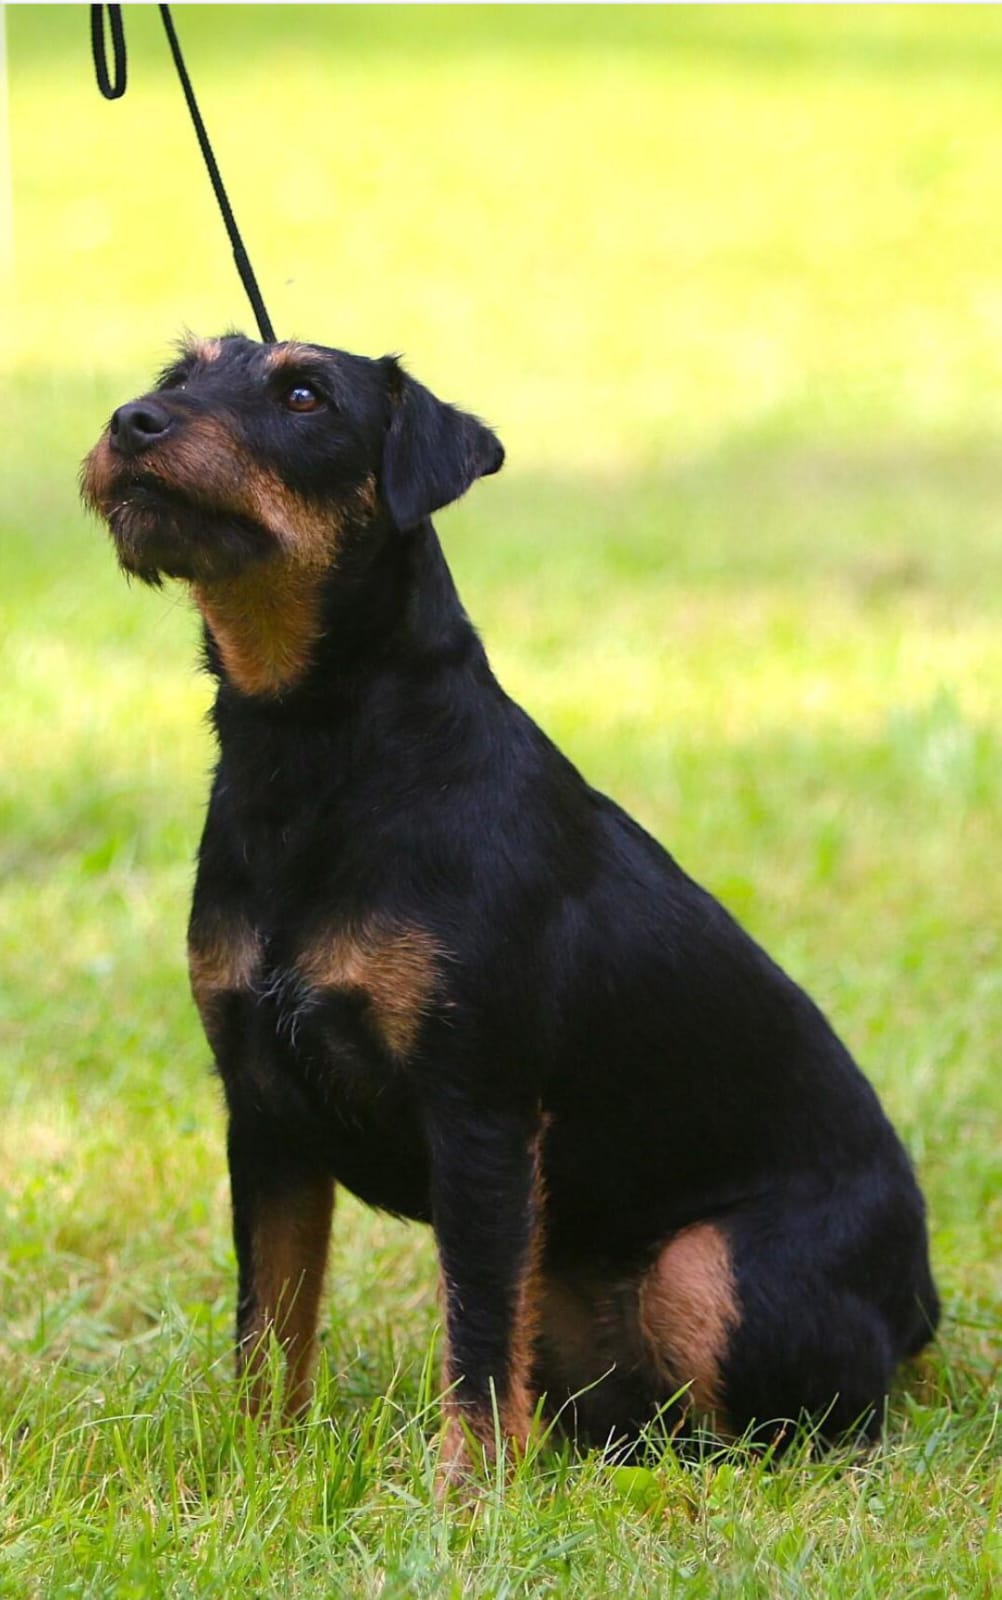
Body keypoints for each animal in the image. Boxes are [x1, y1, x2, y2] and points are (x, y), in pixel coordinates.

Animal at [82, 333, 939, 1478]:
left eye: (305, 395)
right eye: (178, 376)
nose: (134, 421)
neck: (317, 743)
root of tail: (925, 1301)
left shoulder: (480, 1116)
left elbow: (478, 1337)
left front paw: (468, 1493)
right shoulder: (263, 1115)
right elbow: (270, 1324)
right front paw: (261, 1468)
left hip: (709, 1272)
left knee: (808, 1427)